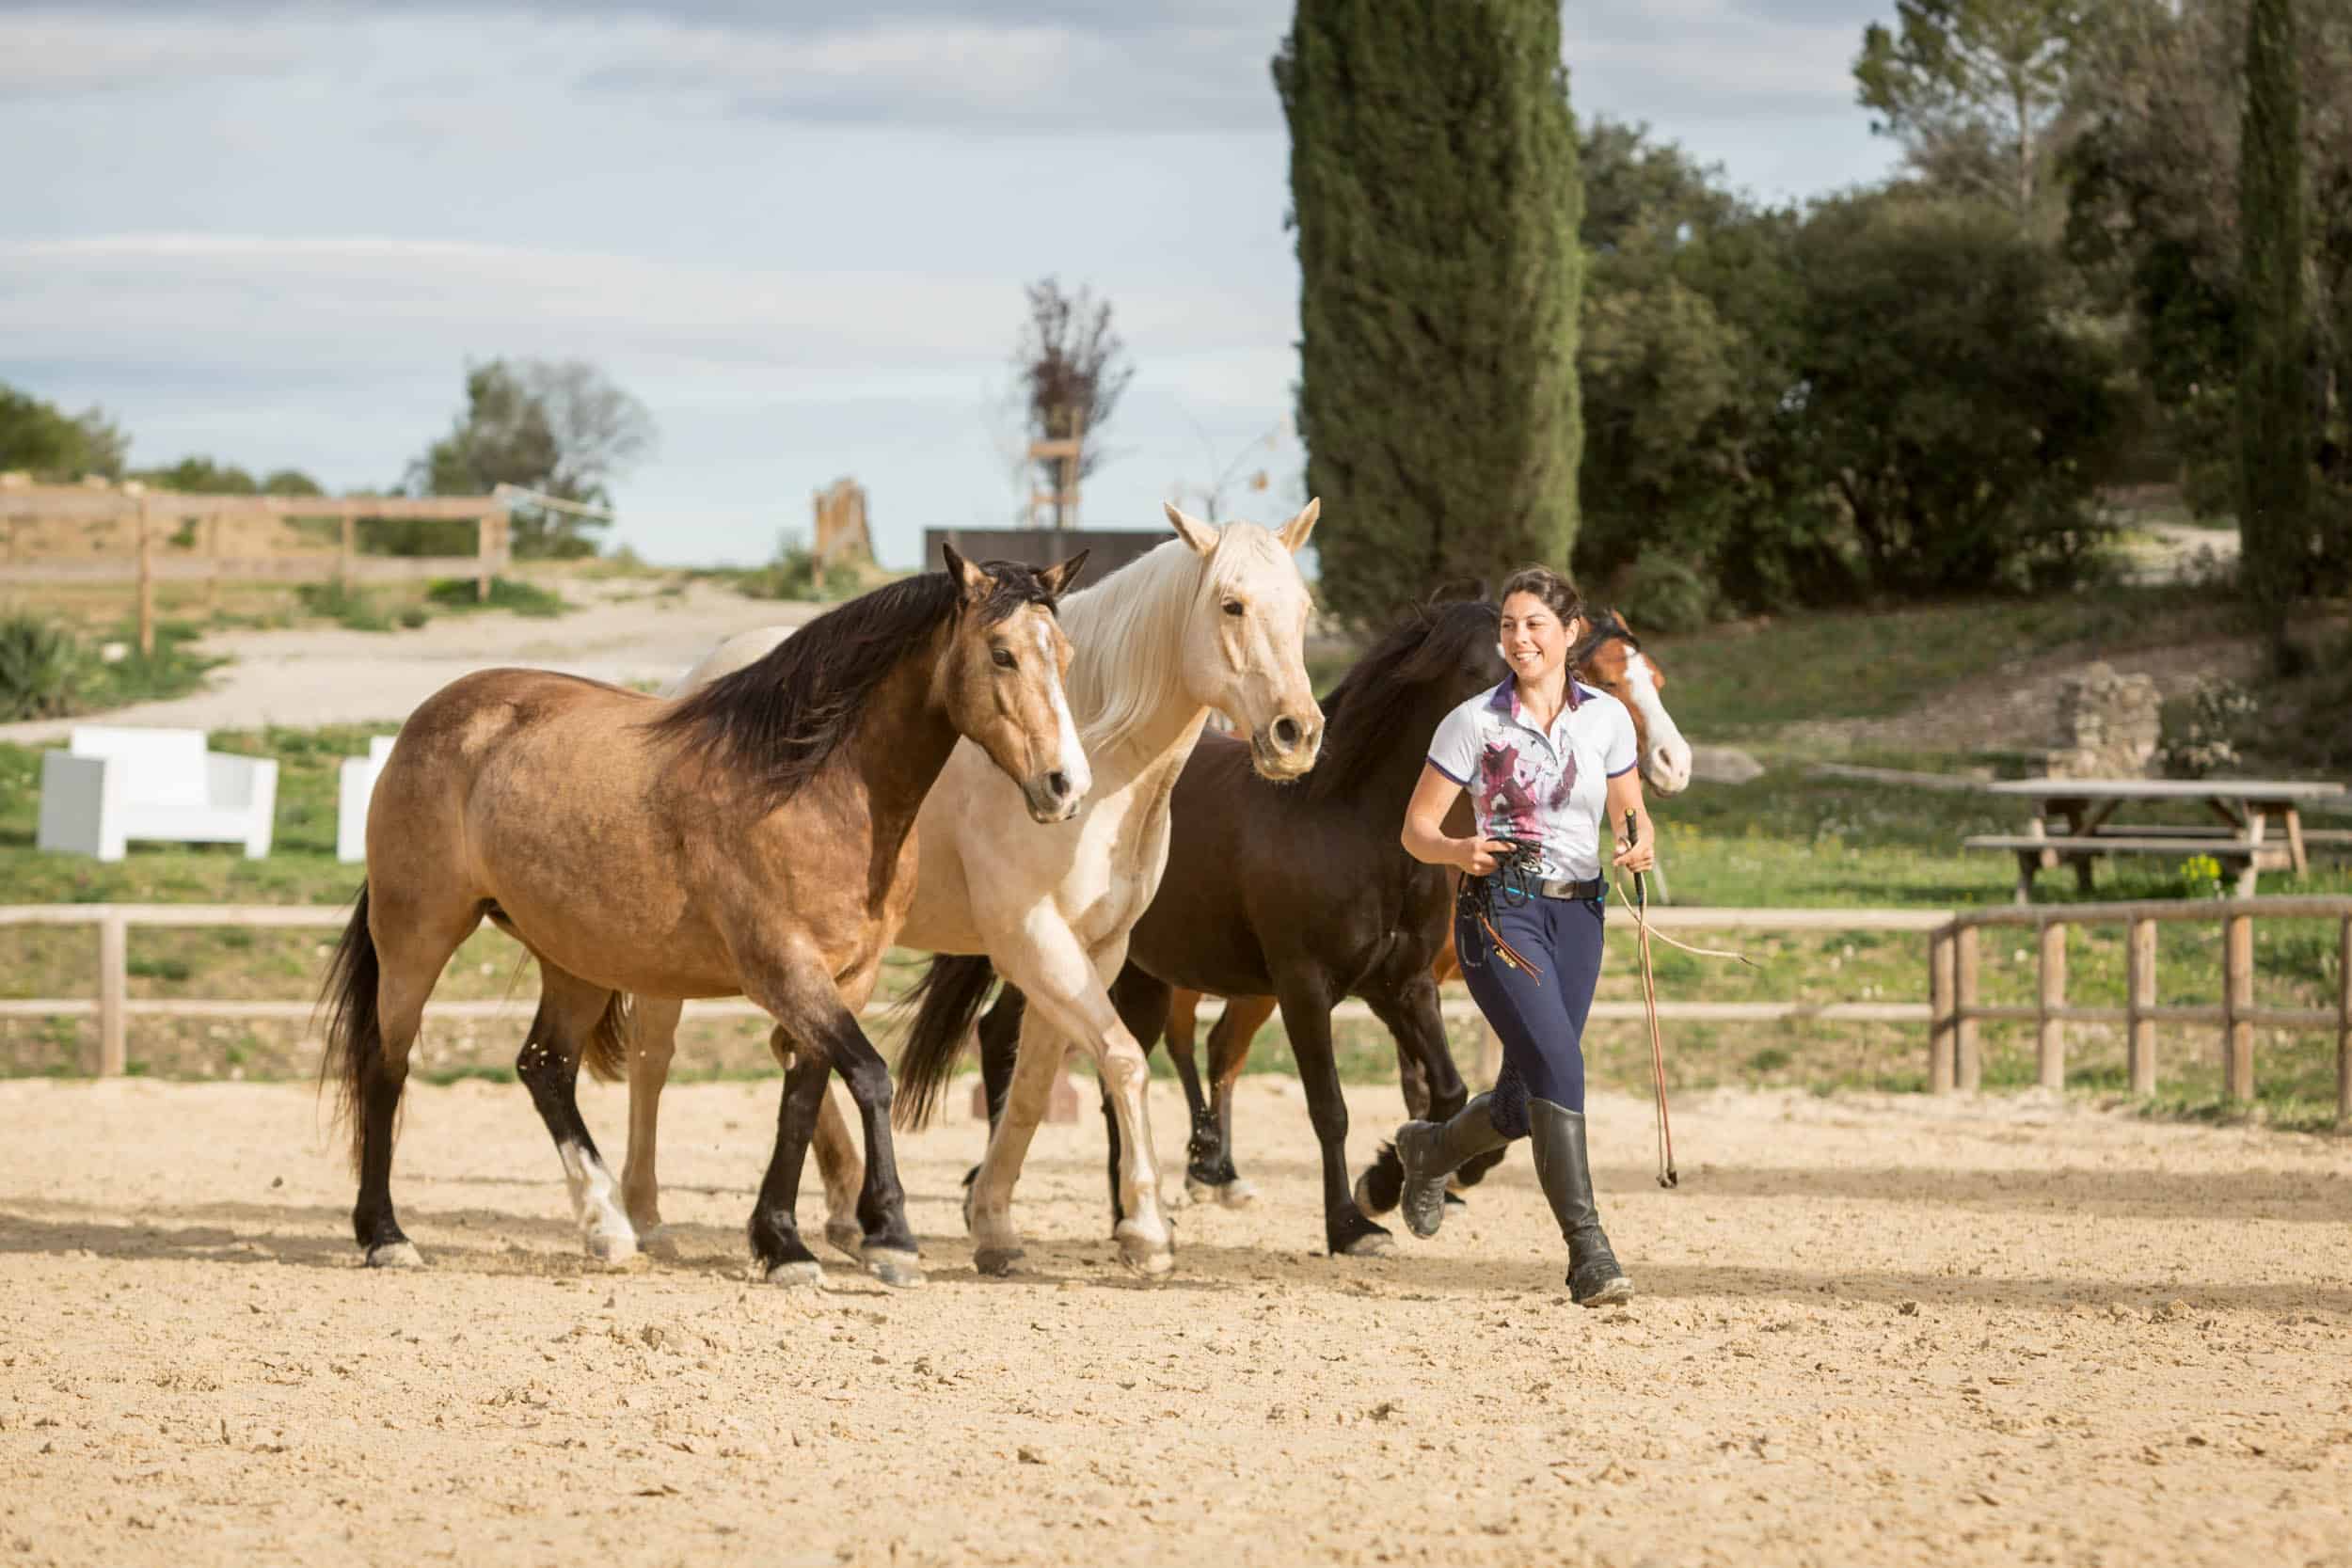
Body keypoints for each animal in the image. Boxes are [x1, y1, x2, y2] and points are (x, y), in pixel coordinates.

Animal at [315, 547, 1090, 1287]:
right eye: (1001, 652)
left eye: (1065, 654)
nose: (1065, 786)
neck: (812, 784)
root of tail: (427, 721)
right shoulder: (783, 968)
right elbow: (869, 1077)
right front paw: (889, 1238)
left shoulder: (847, 976)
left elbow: (804, 1093)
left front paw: (783, 1244)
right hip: (419, 936)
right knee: (387, 1065)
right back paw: (386, 1236)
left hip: (573, 958)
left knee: (545, 1067)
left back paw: (609, 1227)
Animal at [621, 501, 1324, 1278]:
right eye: (1232, 605)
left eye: (1303, 609)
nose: (1296, 733)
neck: (1102, 765)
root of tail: (689, 686)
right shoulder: (1032, 943)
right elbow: (1123, 1060)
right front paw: (1145, 1229)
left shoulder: (1094, 950)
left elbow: (1034, 1088)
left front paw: (993, 1225)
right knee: (654, 1060)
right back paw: (647, 1220)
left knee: (790, 1045)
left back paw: (840, 1213)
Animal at [964, 607, 1694, 1249]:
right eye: (1477, 669)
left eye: (1654, 678)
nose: (1670, 763)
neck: (1351, 825)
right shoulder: (1305, 988)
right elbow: (1332, 1108)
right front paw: (1350, 1223)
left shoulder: (1403, 986)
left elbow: (1446, 1090)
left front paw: (1394, 1181)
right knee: (1012, 1037)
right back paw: (1000, 1191)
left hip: (1141, 975)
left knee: (1132, 1062)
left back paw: (1135, 1214)